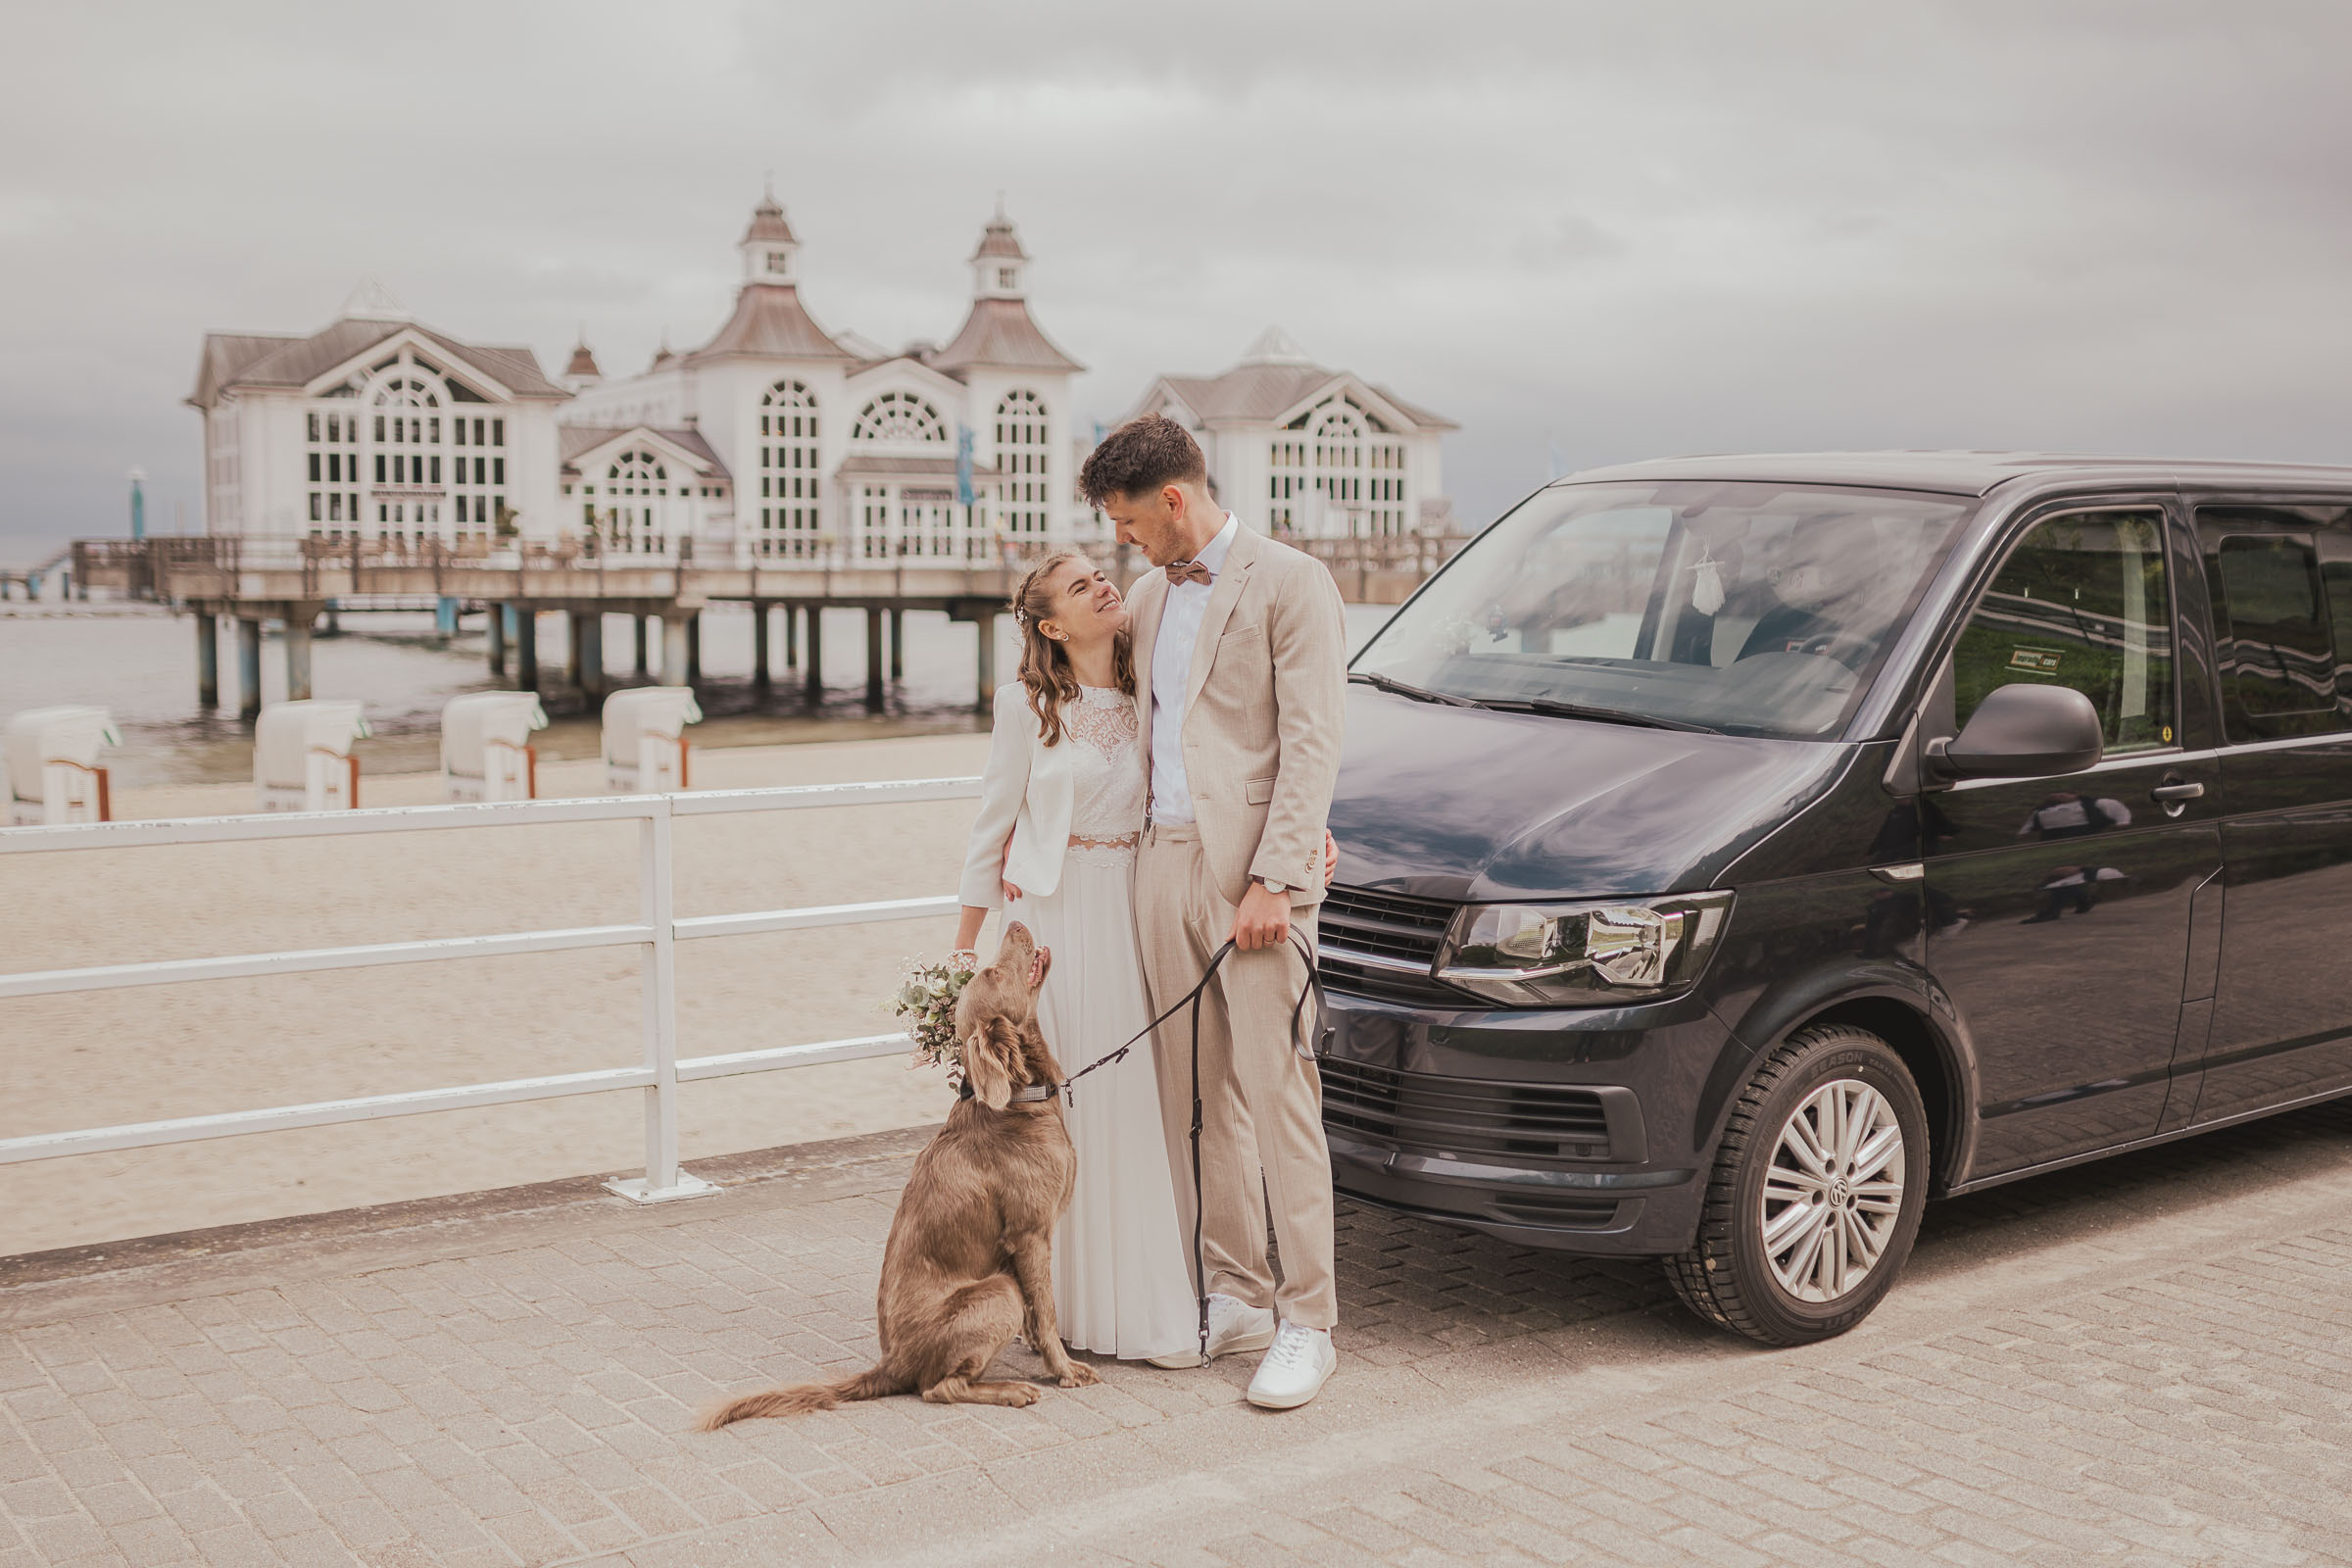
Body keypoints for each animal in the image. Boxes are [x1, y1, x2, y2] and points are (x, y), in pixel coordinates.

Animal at [696, 926, 1101, 1429]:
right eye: (993, 971)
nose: (1017, 924)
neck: (1017, 1101)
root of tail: (892, 1365)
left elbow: (1036, 1312)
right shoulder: (1030, 1235)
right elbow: (1045, 1312)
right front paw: (1063, 1368)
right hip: (997, 1292)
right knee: (938, 1388)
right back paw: (1010, 1390)